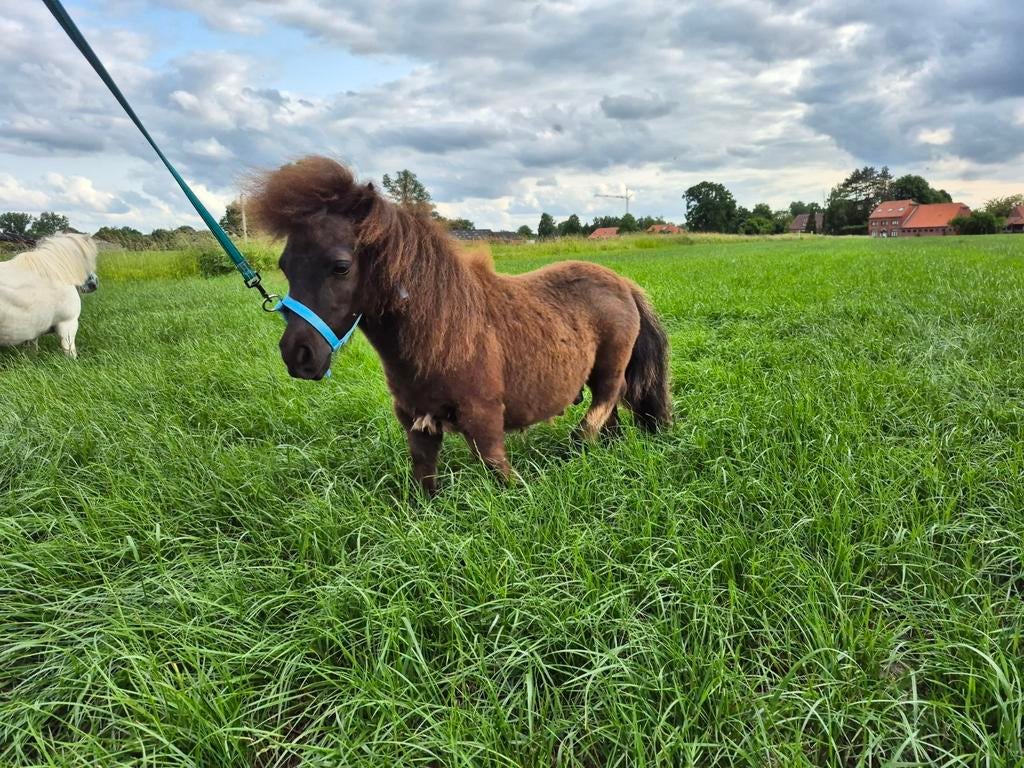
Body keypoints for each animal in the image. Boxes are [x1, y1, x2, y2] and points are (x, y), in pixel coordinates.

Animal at [251, 156, 671, 494]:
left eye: (340, 266)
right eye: (285, 265)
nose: (298, 355)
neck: (442, 331)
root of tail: (623, 283)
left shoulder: (484, 423)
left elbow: (504, 480)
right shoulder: (418, 426)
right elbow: (424, 489)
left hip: (610, 367)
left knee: (605, 402)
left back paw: (577, 445)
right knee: (611, 413)